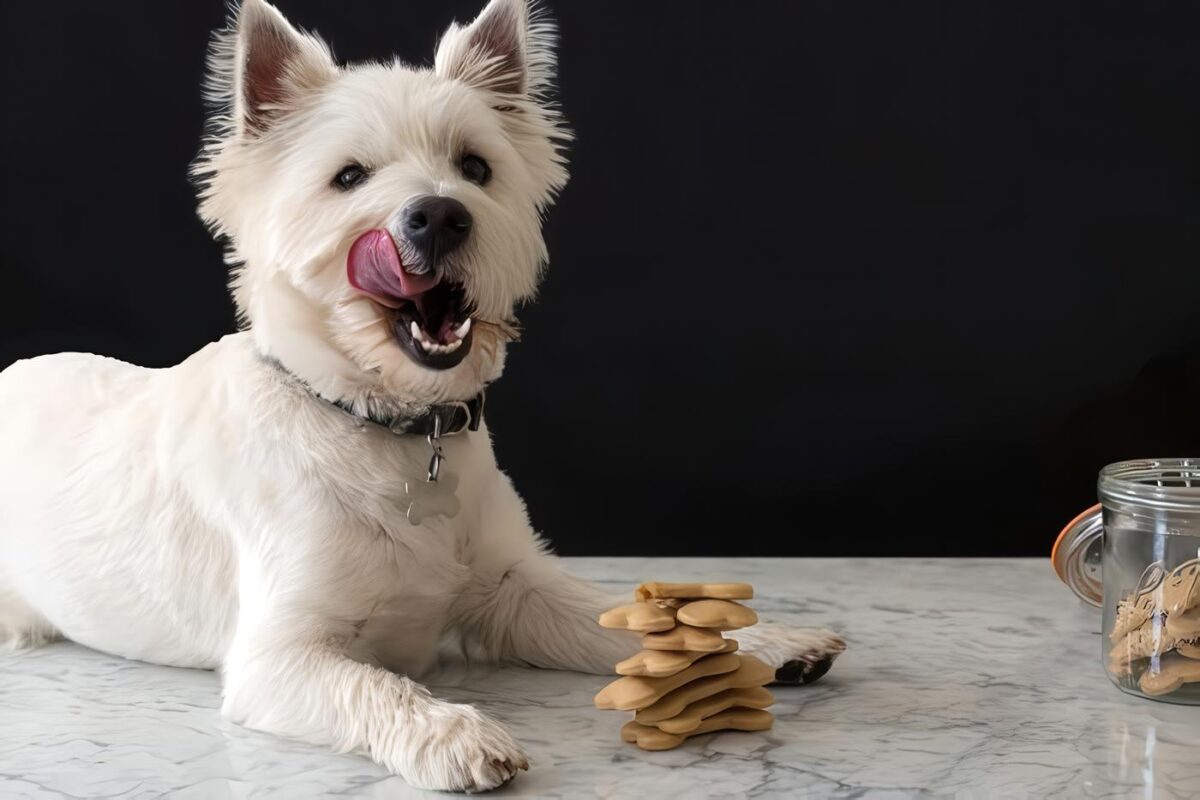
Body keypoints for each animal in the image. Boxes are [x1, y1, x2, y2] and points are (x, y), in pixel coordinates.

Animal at [0, 0, 844, 786]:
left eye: (476, 167)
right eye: (347, 177)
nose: (439, 214)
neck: (389, 424)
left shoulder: (513, 588)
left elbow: (623, 614)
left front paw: (762, 642)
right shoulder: (280, 657)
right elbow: (374, 687)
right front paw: (455, 734)